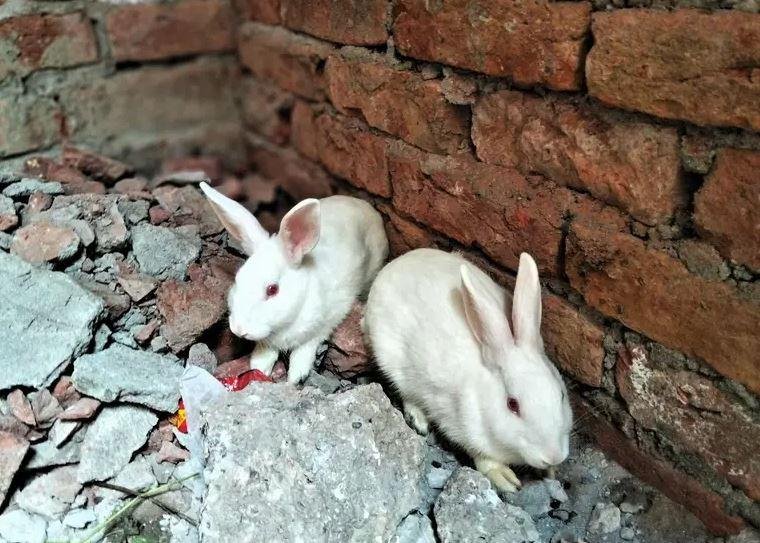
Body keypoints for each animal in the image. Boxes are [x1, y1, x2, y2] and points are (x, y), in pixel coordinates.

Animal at [200, 182, 388, 384]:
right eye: (237, 279)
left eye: (272, 289)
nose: (239, 329)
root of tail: (365, 206)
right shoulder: (268, 341)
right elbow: (265, 354)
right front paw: (259, 368)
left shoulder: (320, 328)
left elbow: (303, 354)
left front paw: (294, 379)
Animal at [364, 248, 572, 491]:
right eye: (512, 405)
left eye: (561, 395)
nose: (553, 455)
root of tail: (395, 264)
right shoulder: (462, 428)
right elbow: (483, 458)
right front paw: (505, 478)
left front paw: (551, 472)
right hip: (393, 363)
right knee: (407, 394)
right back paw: (419, 420)